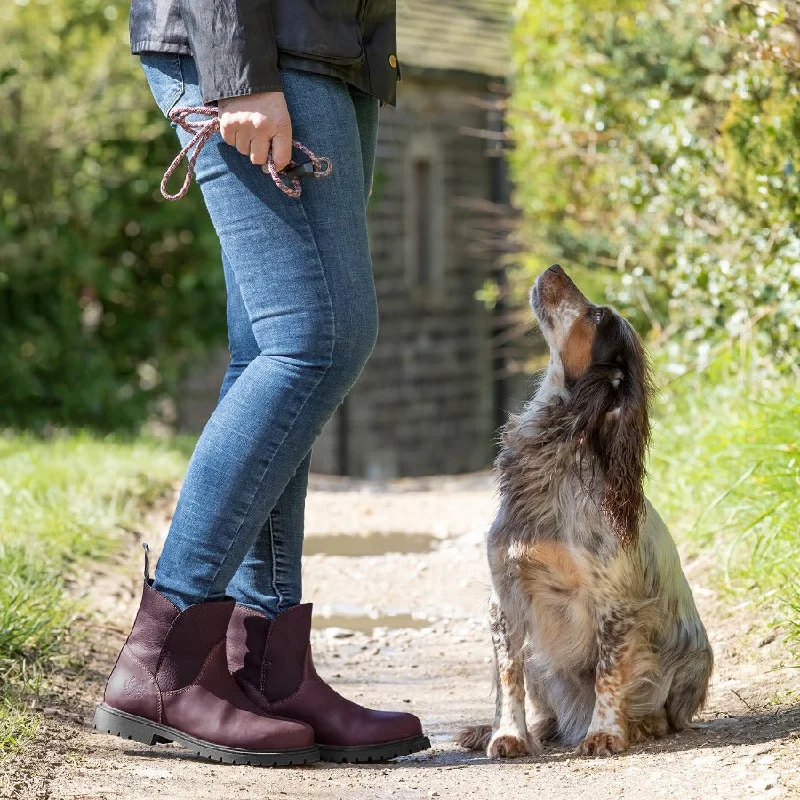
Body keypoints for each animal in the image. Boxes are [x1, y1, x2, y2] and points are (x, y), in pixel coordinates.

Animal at [460, 266, 716, 760]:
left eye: (596, 315)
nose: (555, 268)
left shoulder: (614, 603)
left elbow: (608, 674)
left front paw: (605, 733)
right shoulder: (504, 596)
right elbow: (508, 676)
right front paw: (506, 735)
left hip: (694, 659)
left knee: (665, 712)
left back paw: (642, 724)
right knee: (544, 706)